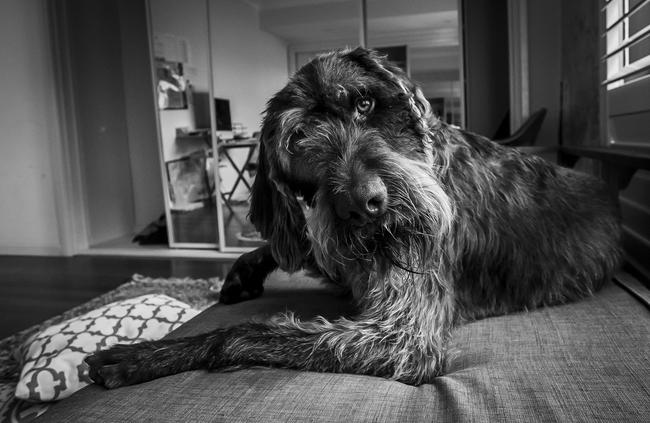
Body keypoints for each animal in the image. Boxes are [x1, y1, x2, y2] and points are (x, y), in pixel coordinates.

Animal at [85, 46, 616, 388]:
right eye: (298, 140)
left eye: (364, 103)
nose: (364, 204)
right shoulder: (341, 249)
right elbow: (295, 247)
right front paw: (243, 271)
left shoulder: (404, 338)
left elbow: (244, 332)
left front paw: (146, 355)